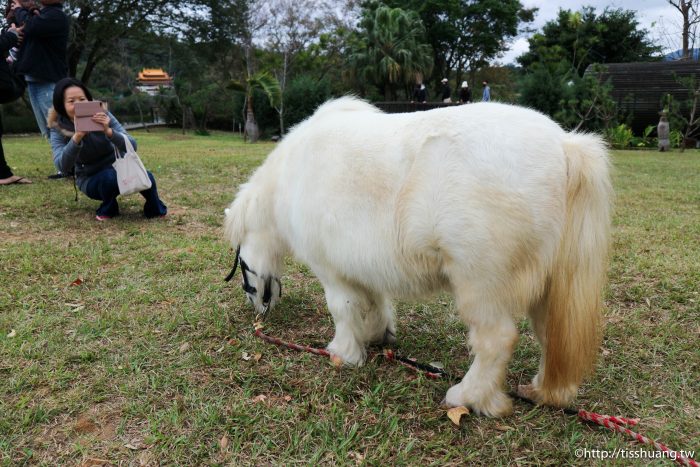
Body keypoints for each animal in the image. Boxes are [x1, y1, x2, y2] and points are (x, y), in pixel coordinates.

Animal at [226, 97, 612, 418]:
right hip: (549, 288)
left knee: (496, 340)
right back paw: (541, 391)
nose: (258, 309)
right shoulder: (363, 268)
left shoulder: (331, 271)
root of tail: (564, 146)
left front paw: (343, 354)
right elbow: (374, 305)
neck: (293, 174)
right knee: (550, 336)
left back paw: (467, 397)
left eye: (241, 263)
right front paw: (377, 336)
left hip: (481, 284)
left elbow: (343, 309)